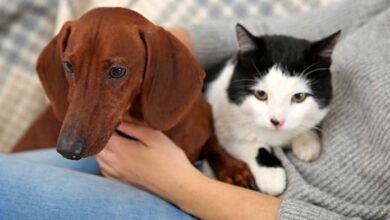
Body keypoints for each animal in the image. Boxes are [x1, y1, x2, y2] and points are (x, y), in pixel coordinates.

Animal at [206, 24, 340, 195]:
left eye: (299, 96)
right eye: (261, 94)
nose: (277, 121)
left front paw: (307, 143)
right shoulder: (223, 125)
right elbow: (247, 144)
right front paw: (271, 176)